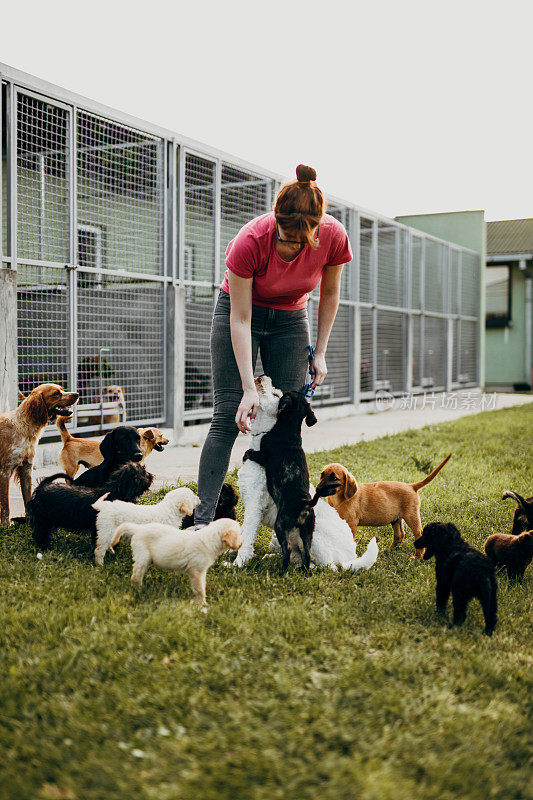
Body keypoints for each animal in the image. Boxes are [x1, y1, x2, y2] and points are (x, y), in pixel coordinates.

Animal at [0, 386, 78, 528]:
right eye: (56, 393)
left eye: (62, 389)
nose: (77, 394)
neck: (24, 427)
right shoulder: (4, 471)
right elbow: (5, 507)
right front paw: (5, 526)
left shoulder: (26, 469)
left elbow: (27, 499)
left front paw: (30, 521)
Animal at [113, 516, 244, 608]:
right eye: (239, 534)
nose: (242, 542)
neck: (208, 539)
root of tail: (139, 528)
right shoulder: (196, 571)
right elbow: (200, 589)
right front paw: (202, 604)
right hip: (142, 557)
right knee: (135, 576)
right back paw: (139, 590)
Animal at [243, 390, 318, 572]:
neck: (289, 429)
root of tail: (305, 503)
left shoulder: (263, 455)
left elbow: (252, 453)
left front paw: (246, 454)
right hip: (307, 530)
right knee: (307, 553)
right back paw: (304, 571)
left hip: (281, 525)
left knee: (288, 550)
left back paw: (282, 571)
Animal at [314, 454, 450, 560]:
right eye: (322, 475)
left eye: (334, 478)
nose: (317, 489)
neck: (338, 498)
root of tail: (411, 486)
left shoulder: (351, 523)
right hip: (396, 518)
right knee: (400, 534)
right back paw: (389, 550)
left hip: (411, 516)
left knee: (418, 534)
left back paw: (417, 557)